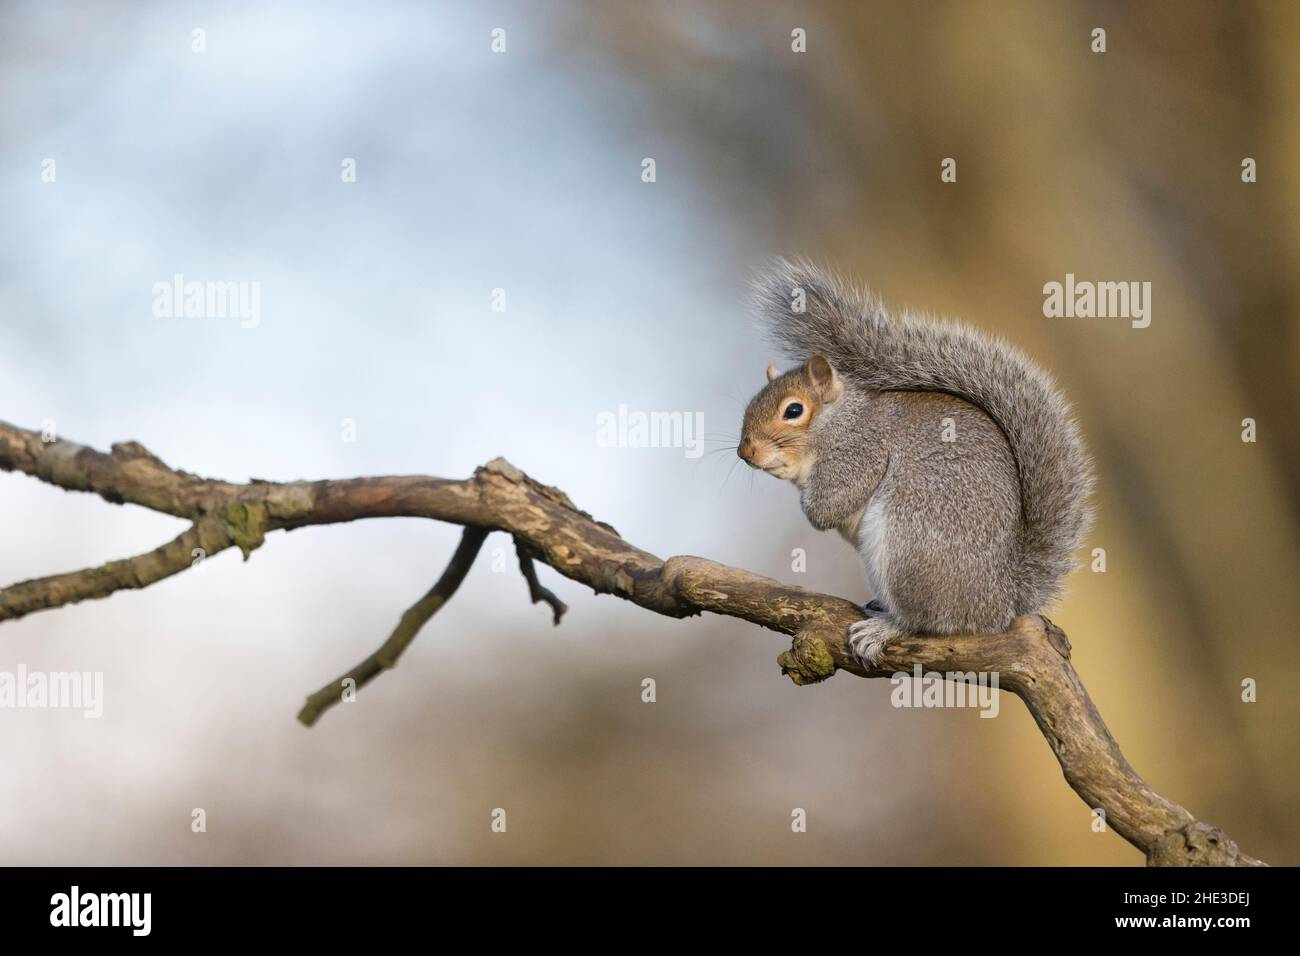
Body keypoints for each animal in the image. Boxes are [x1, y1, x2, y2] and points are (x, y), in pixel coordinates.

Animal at [738, 260, 1093, 668]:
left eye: (793, 411)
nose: (746, 452)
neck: (839, 420)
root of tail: (1001, 601)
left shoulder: (861, 451)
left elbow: (833, 503)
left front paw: (809, 508)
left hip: (908, 541)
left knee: (927, 621)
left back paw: (886, 627)